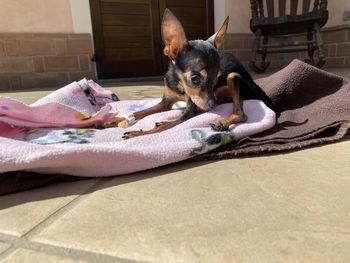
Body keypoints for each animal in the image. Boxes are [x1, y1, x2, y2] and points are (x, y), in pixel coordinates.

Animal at [121, 9, 272, 139]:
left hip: (233, 77)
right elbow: (140, 112)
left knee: (240, 113)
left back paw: (221, 122)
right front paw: (119, 120)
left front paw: (136, 134)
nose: (213, 106)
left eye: (216, 79)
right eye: (195, 79)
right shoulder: (165, 103)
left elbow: (163, 128)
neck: (179, 86)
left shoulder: (190, 111)